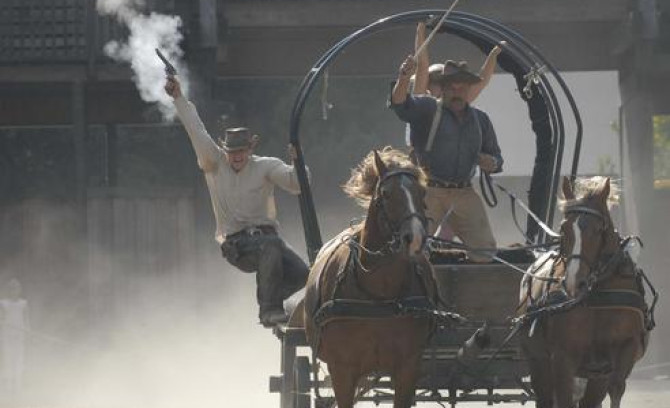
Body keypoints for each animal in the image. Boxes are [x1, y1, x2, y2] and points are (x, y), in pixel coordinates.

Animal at [302, 148, 439, 408]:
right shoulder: (342, 370)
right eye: (386, 193)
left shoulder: (407, 368)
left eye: (423, 191)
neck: (378, 295)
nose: (415, 238)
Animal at [517, 176, 652, 408]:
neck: (597, 296)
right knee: (545, 395)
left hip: (596, 374)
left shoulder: (625, 348)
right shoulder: (562, 357)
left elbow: (616, 388)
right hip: (538, 362)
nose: (575, 282)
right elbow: (563, 397)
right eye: (563, 229)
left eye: (599, 230)